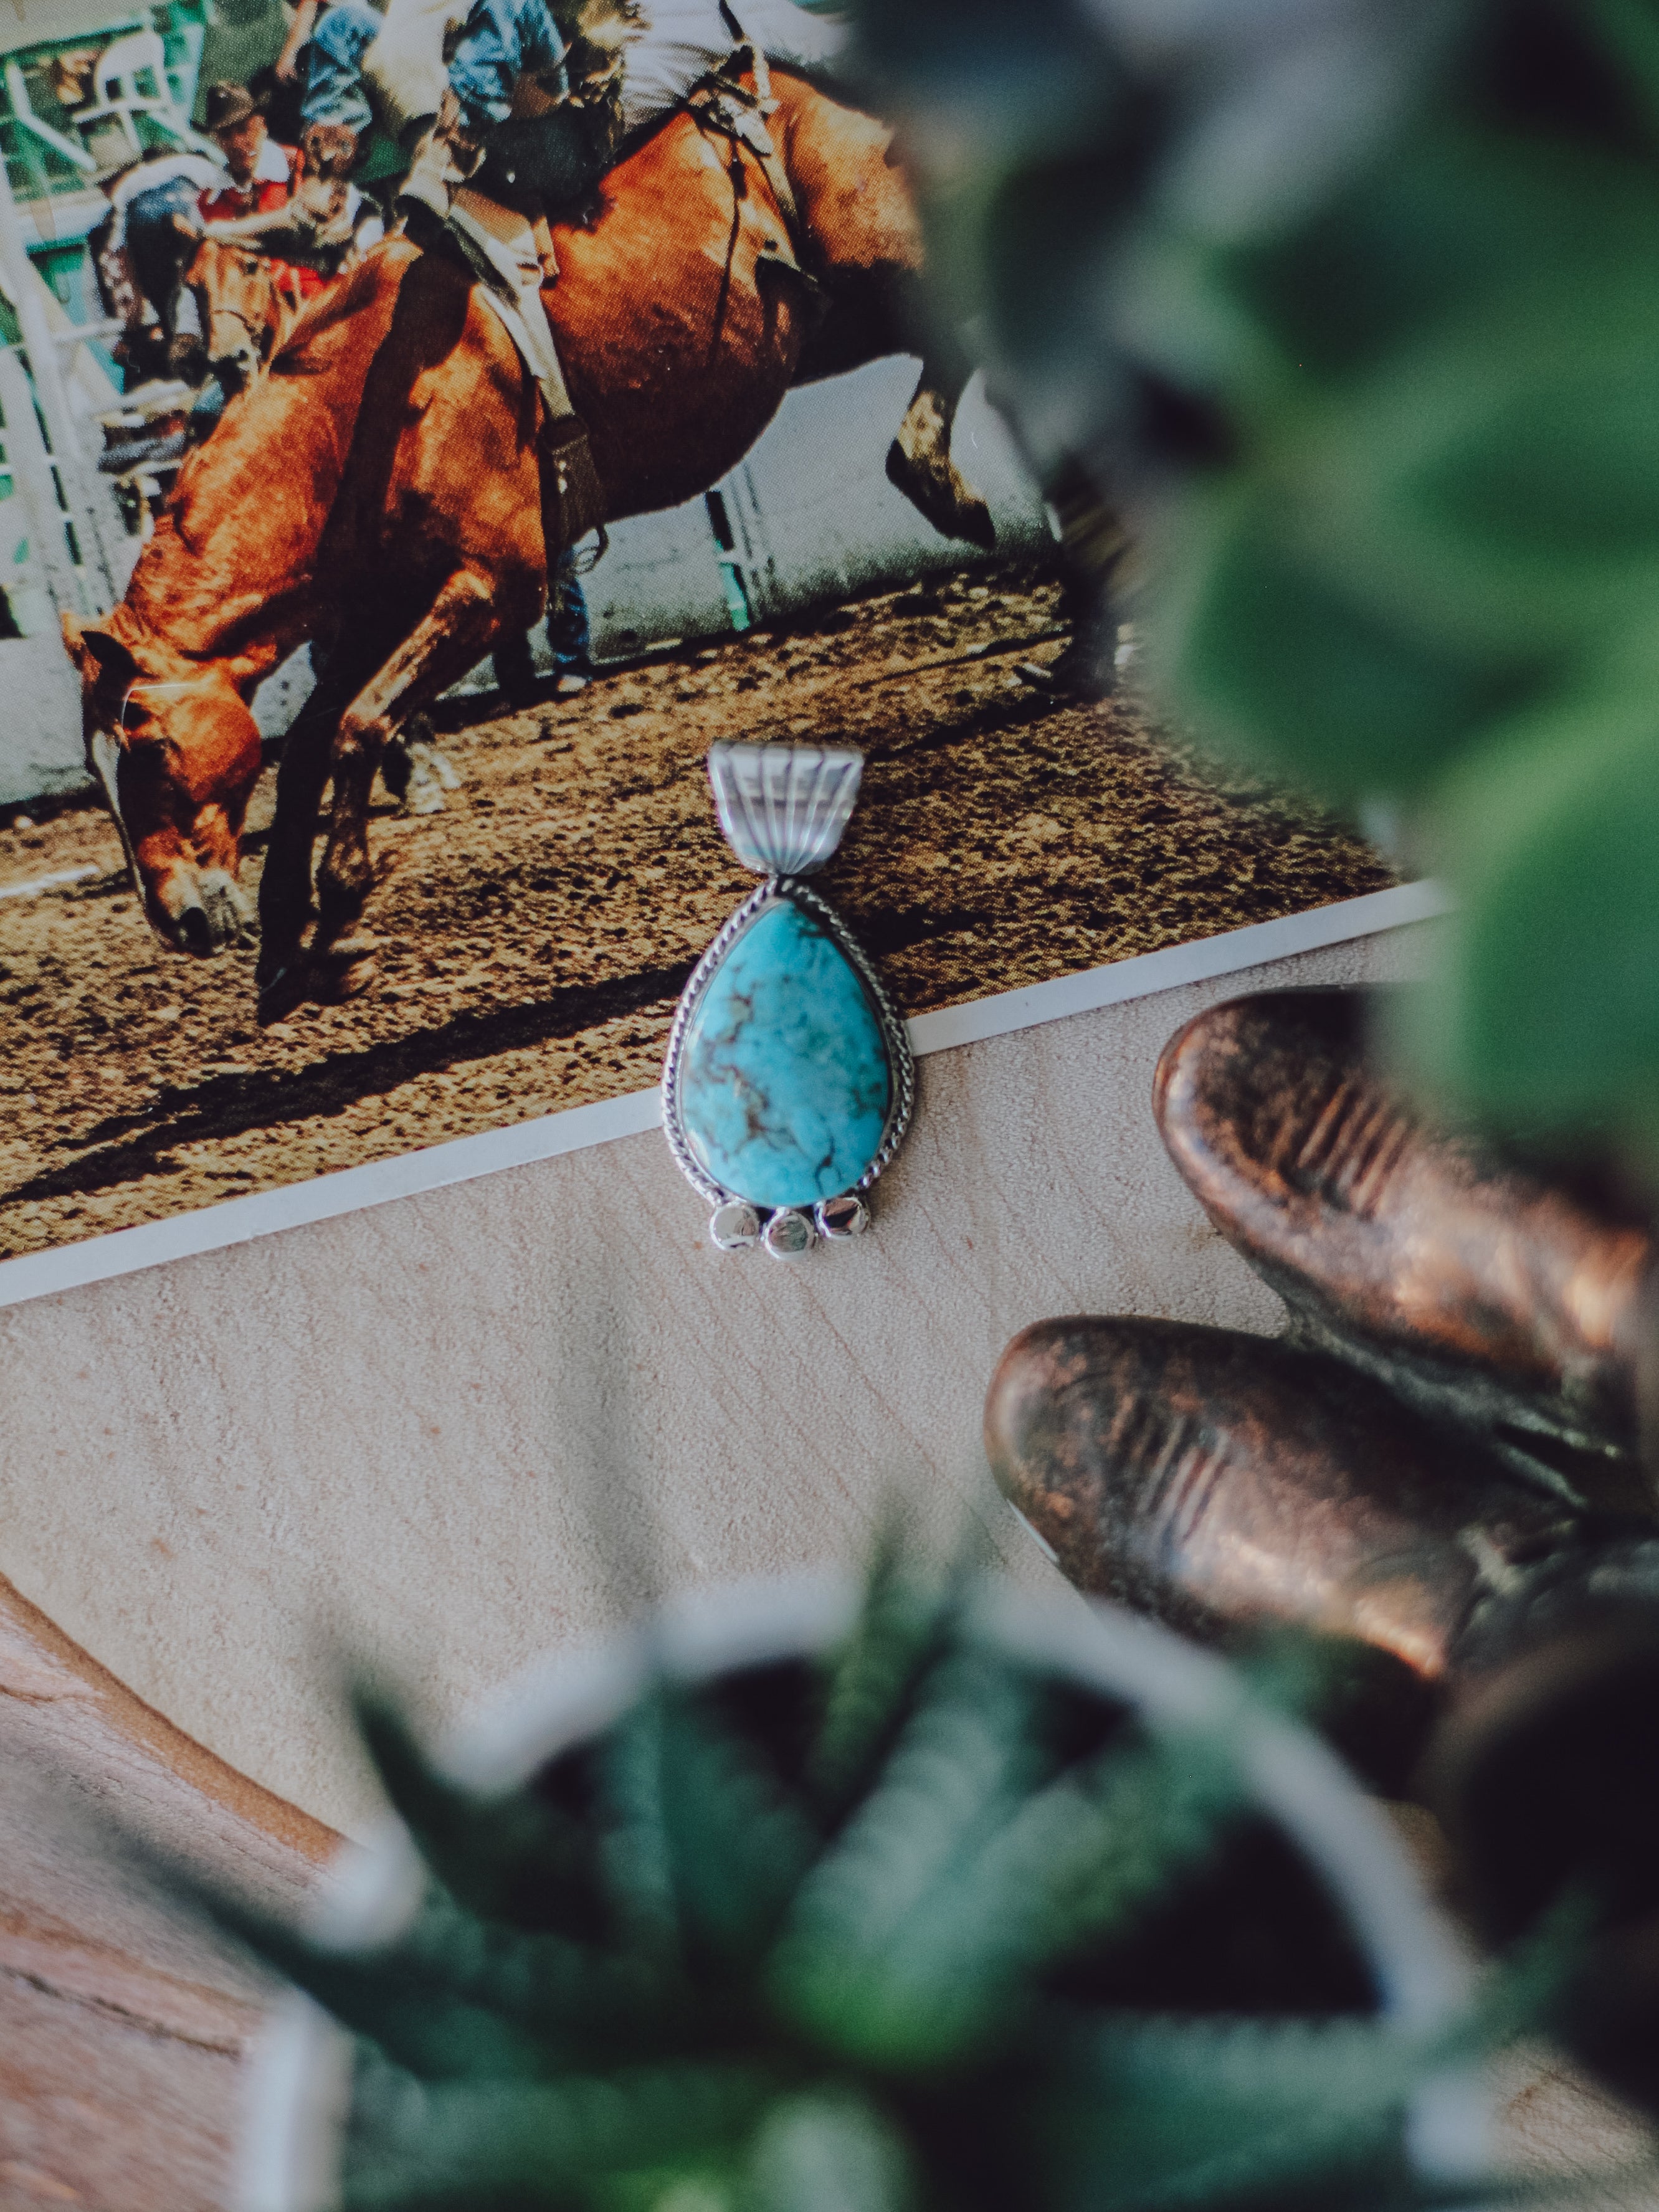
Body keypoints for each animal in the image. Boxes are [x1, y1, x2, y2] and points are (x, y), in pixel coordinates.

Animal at [62, 71, 997, 1017]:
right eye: (97, 771)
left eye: (145, 744)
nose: (176, 920)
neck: (357, 412)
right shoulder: (379, 607)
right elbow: (305, 754)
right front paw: (294, 950)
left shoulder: (495, 585)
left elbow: (359, 725)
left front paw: (339, 908)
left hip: (898, 267)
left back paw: (943, 484)